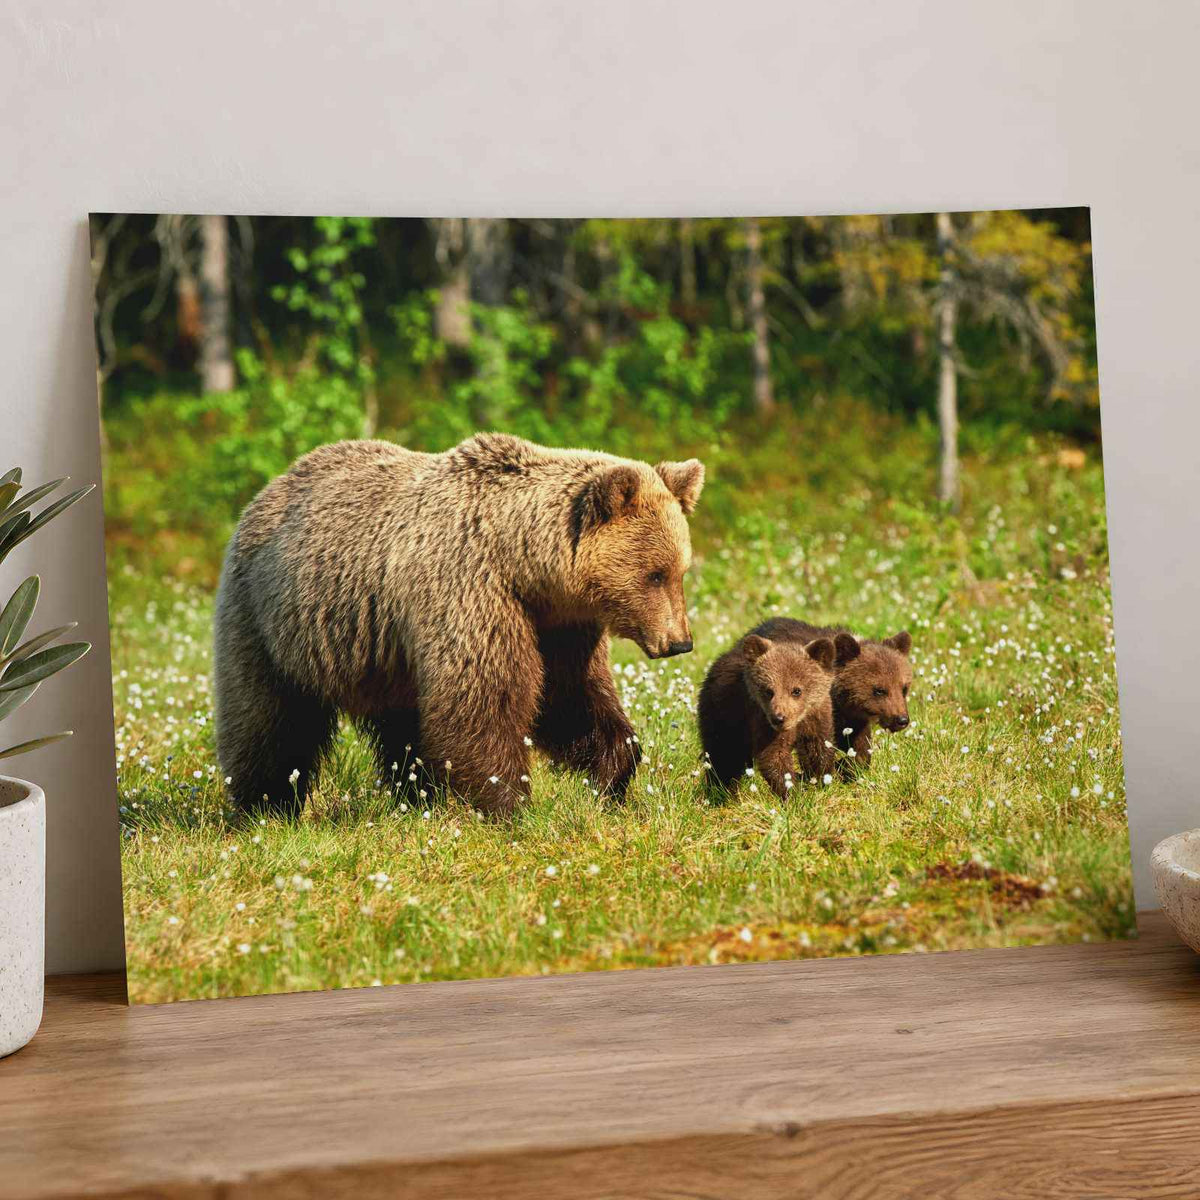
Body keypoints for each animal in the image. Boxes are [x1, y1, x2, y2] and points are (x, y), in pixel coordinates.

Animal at [213, 433, 704, 818]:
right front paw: (509, 802)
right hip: (270, 620)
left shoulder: (559, 624)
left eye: (680, 570)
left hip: (384, 656)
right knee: (269, 719)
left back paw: (414, 798)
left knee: (402, 729)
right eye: (654, 574)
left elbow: (570, 698)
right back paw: (266, 806)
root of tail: (271, 486)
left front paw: (614, 773)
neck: (522, 563)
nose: (679, 642)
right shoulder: (470, 591)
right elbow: (483, 699)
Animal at [697, 631, 836, 799]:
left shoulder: (816, 716)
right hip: (724, 715)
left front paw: (821, 781)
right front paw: (791, 793)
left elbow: (818, 748)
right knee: (723, 756)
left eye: (797, 690)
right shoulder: (761, 719)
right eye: (768, 691)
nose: (779, 718)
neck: (798, 720)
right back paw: (721, 792)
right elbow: (774, 756)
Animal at [750, 618, 913, 771]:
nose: (901, 720)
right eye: (879, 690)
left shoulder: (853, 719)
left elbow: (860, 746)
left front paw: (850, 766)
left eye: (904, 688)